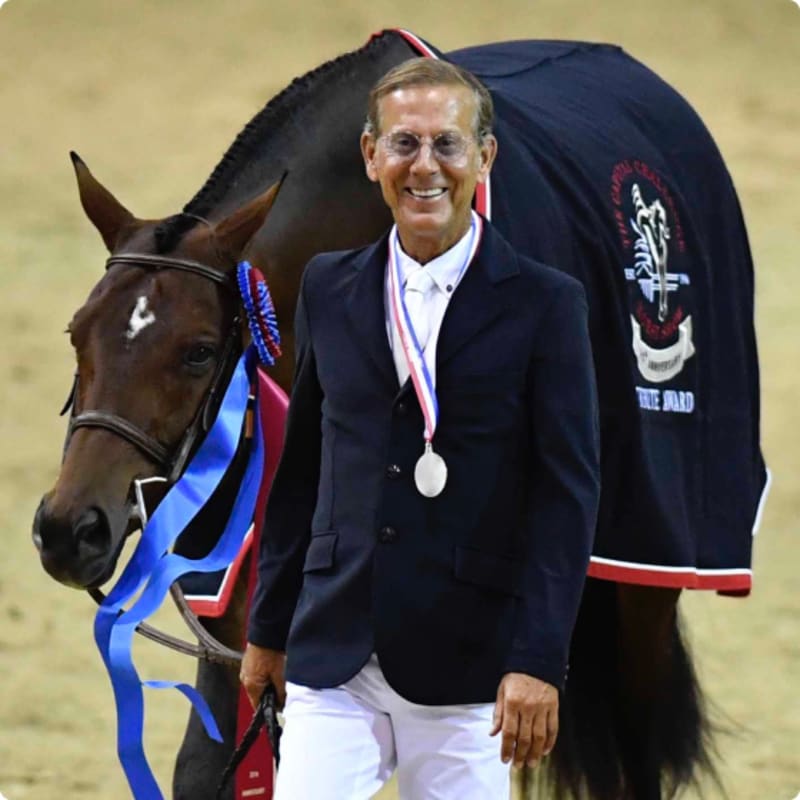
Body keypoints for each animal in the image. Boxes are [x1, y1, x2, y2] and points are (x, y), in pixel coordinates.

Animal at [32, 30, 766, 800]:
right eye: (77, 333)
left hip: (642, 579)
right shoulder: (244, 627)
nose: (68, 529)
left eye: (199, 352)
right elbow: (211, 767)